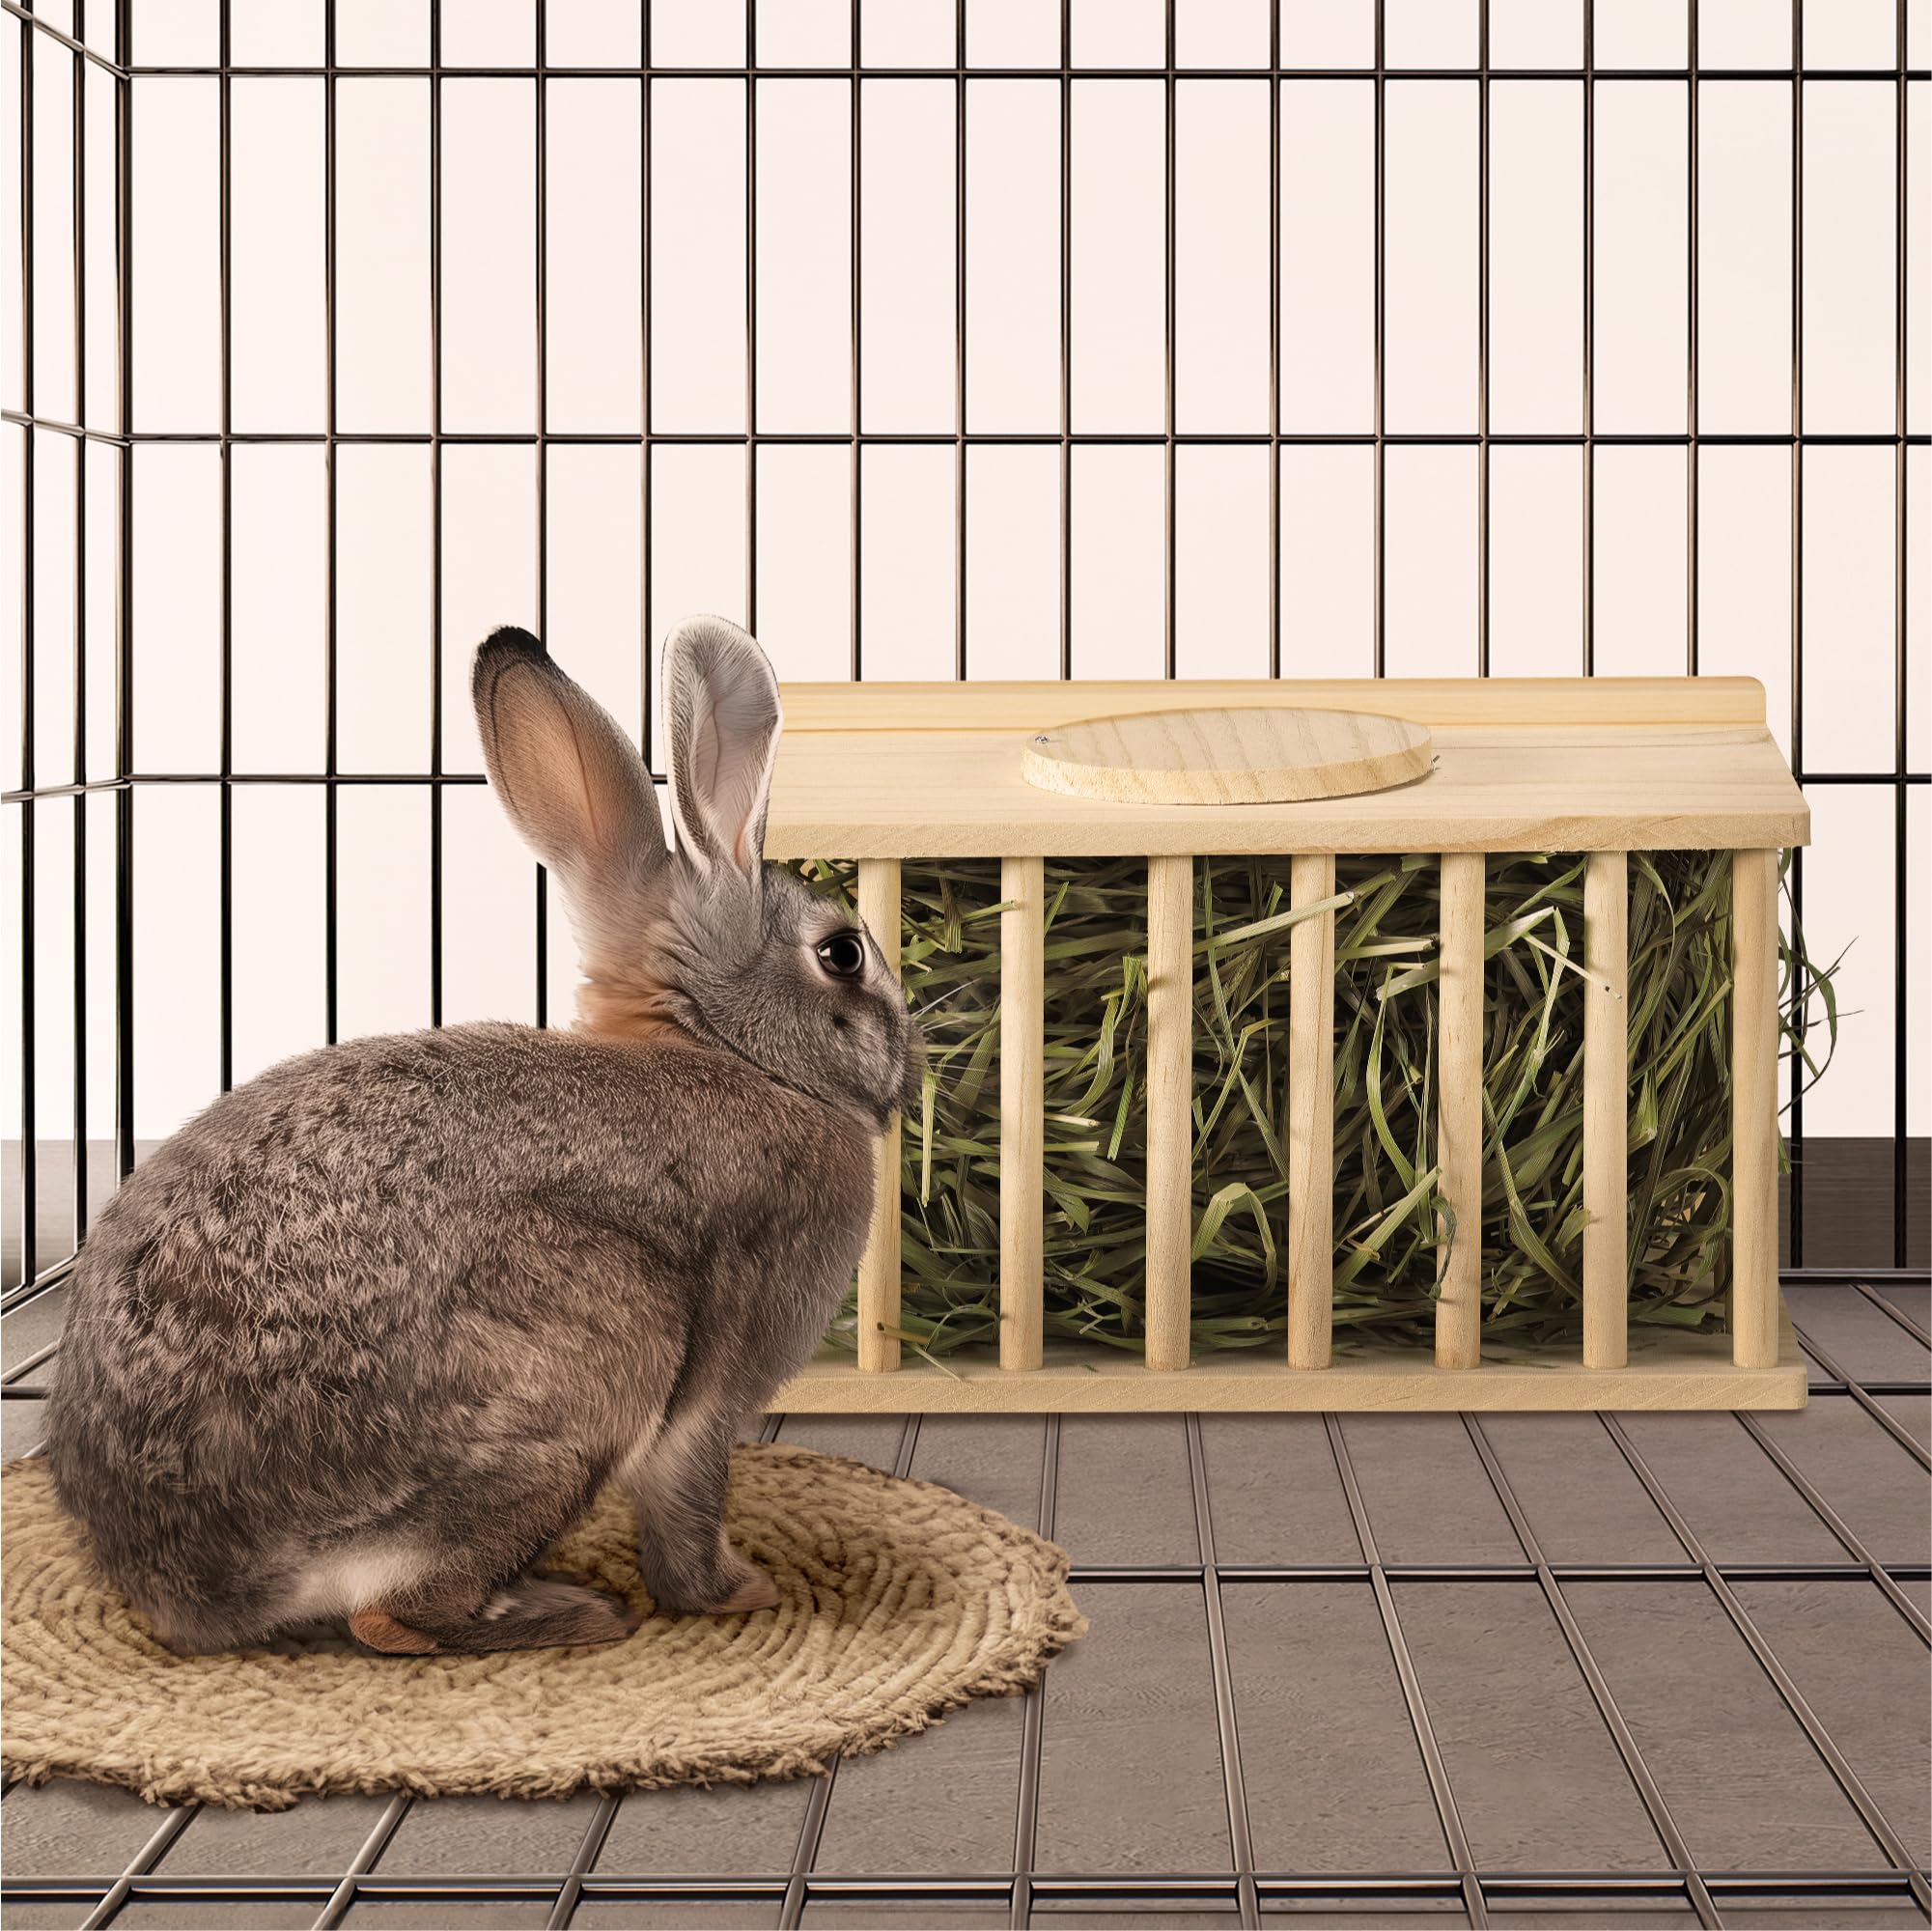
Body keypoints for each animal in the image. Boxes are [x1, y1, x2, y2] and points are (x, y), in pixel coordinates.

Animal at [44, 616, 924, 1656]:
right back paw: (573, 1612)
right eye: (842, 953)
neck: (735, 1052)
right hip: (592, 1350)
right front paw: (739, 1593)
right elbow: (687, 1500)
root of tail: (199, 1586)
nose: (908, 1065)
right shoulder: (719, 1373)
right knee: (394, 1616)